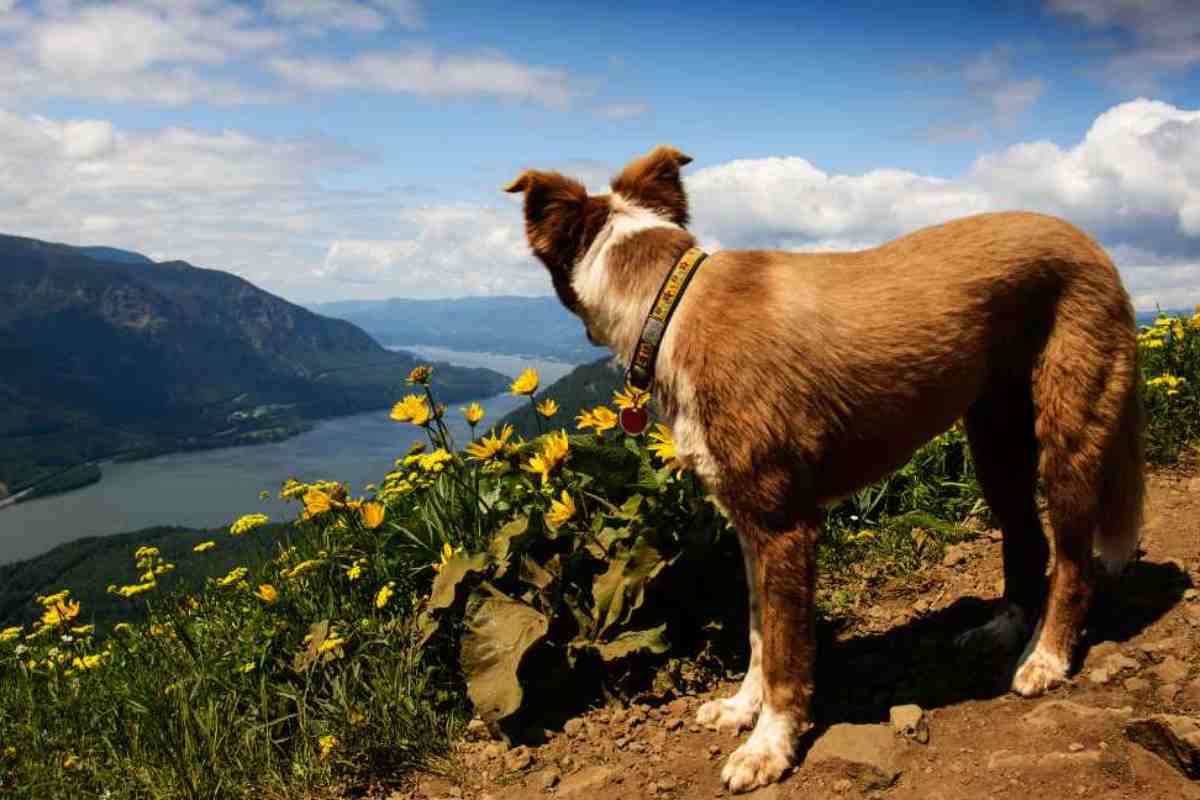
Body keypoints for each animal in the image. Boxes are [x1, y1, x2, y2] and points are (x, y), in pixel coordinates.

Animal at [504, 146, 1142, 791]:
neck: (672, 304)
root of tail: (1088, 242)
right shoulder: (748, 525)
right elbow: (759, 633)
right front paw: (743, 707)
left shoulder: (785, 528)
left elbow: (786, 654)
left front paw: (770, 745)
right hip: (994, 442)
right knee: (1025, 538)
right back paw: (1006, 628)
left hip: (1069, 434)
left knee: (1074, 563)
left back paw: (1047, 657)